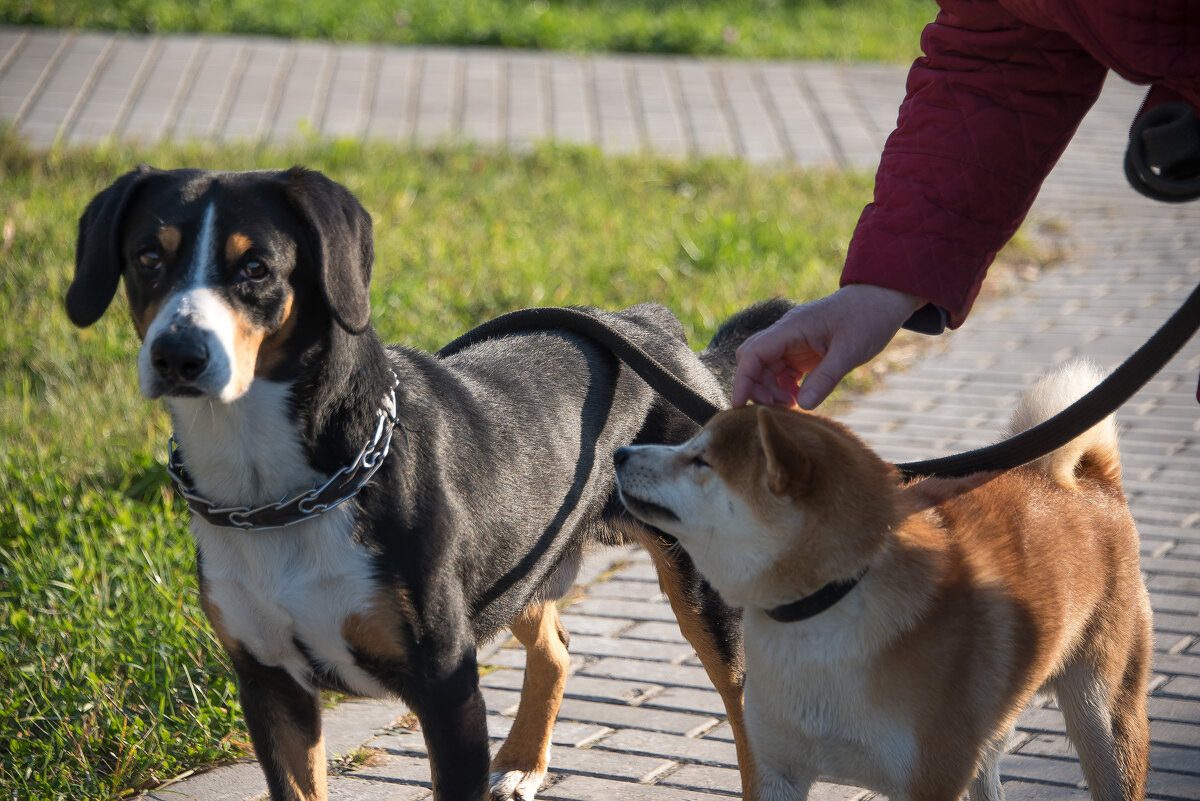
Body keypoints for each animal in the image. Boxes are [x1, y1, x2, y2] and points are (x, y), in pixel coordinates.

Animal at [72, 167, 787, 801]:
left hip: (699, 588)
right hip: (520, 561)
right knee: (555, 650)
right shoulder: (270, 683)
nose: (178, 355)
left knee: (748, 706)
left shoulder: (447, 687)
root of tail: (652, 326)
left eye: (256, 269)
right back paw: (521, 764)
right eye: (147, 258)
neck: (277, 496)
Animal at [619, 362, 1152, 801]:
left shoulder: (928, 781)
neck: (828, 607)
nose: (622, 452)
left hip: (1102, 716)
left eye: (700, 461)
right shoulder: (776, 769)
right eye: (690, 445)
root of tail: (1090, 482)